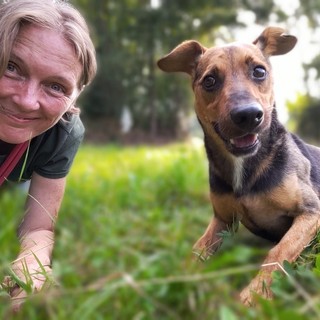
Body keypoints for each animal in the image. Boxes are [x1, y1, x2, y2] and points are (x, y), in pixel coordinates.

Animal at [157, 27, 320, 304]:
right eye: (209, 80)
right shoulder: (222, 219)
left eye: (259, 71)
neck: (246, 167)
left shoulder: (311, 211)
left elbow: (279, 251)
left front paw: (254, 295)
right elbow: (197, 249)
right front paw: (176, 277)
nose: (248, 115)